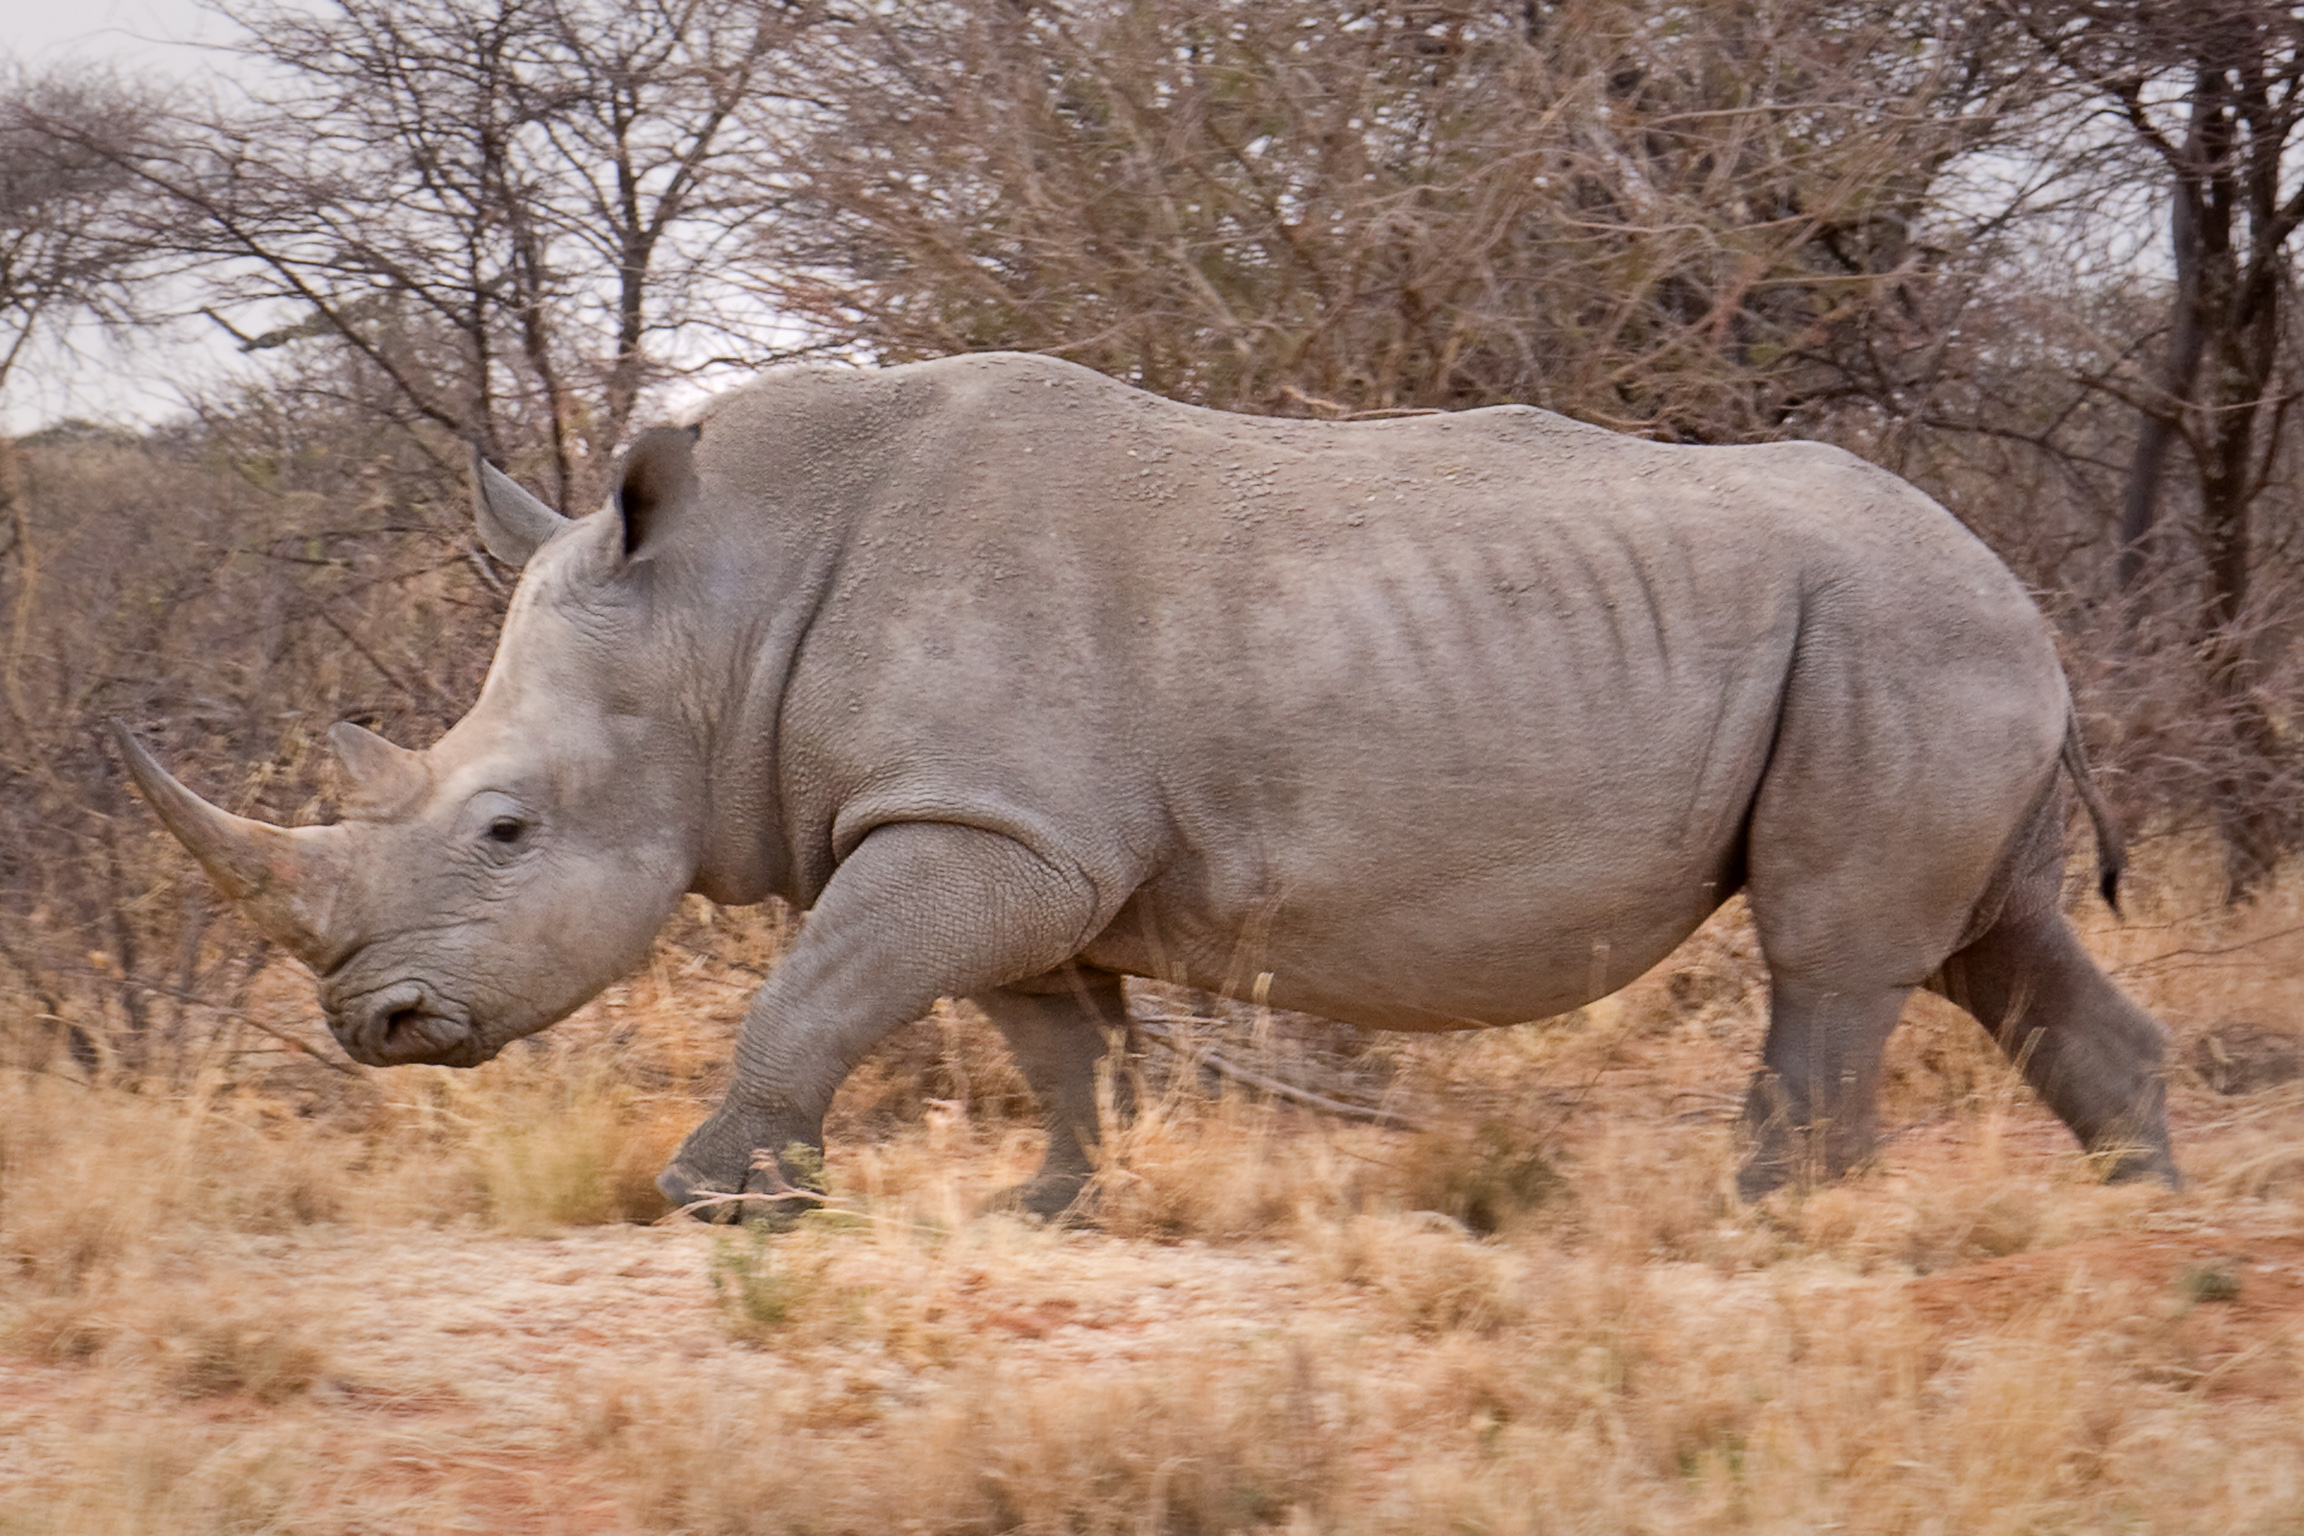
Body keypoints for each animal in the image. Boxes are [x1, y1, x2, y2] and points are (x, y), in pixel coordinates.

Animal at [116, 351, 2177, 1214]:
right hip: (1938, 648)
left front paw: (708, 1200)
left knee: (1837, 957)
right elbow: (1052, 1037)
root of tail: (2032, 600)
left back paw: (1759, 1219)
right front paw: (1050, 1207)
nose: (375, 1027)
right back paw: (2139, 1212)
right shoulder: (1010, 834)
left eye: (504, 828)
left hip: (1898, 636)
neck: (717, 610)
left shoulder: (983, 820)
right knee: (1993, 942)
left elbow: (816, 987)